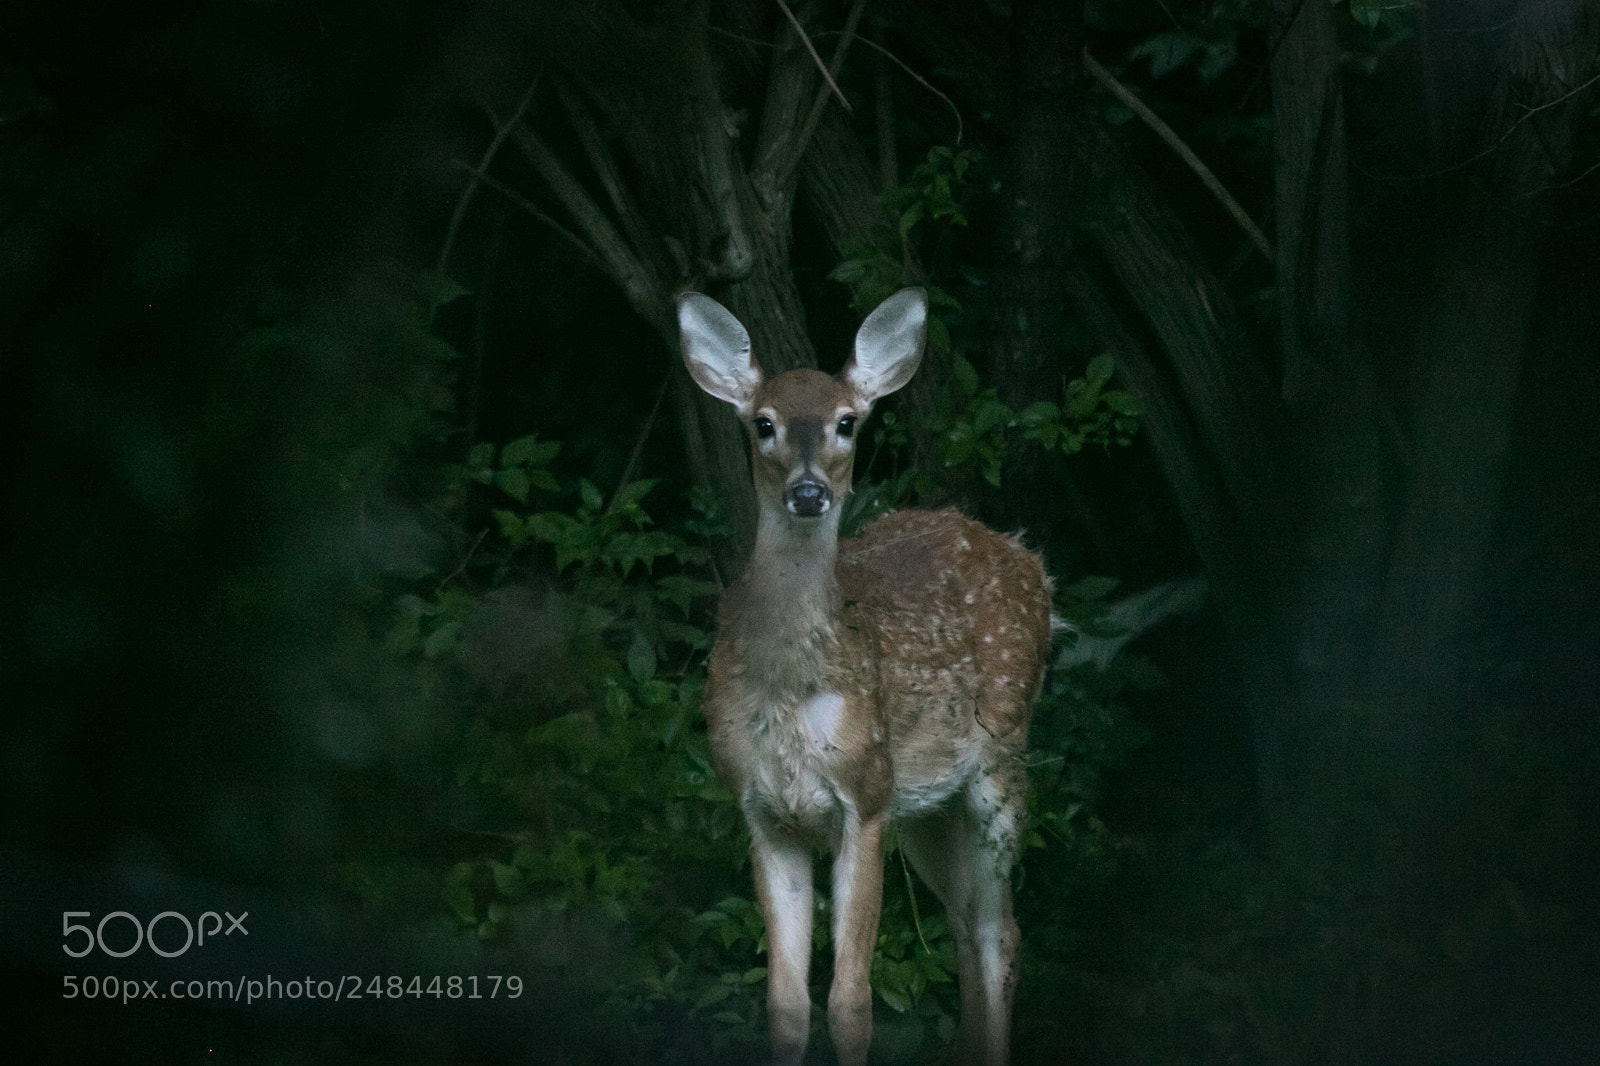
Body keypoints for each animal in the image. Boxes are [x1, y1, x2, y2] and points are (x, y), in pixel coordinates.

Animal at [677, 287, 1053, 1066]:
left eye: (847, 422)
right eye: (763, 422)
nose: (809, 491)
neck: (793, 691)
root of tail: (1029, 561)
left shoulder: (867, 792)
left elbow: (851, 1003)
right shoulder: (763, 811)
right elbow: (786, 1004)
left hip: (999, 765)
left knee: (1000, 933)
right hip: (930, 809)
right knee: (966, 926)